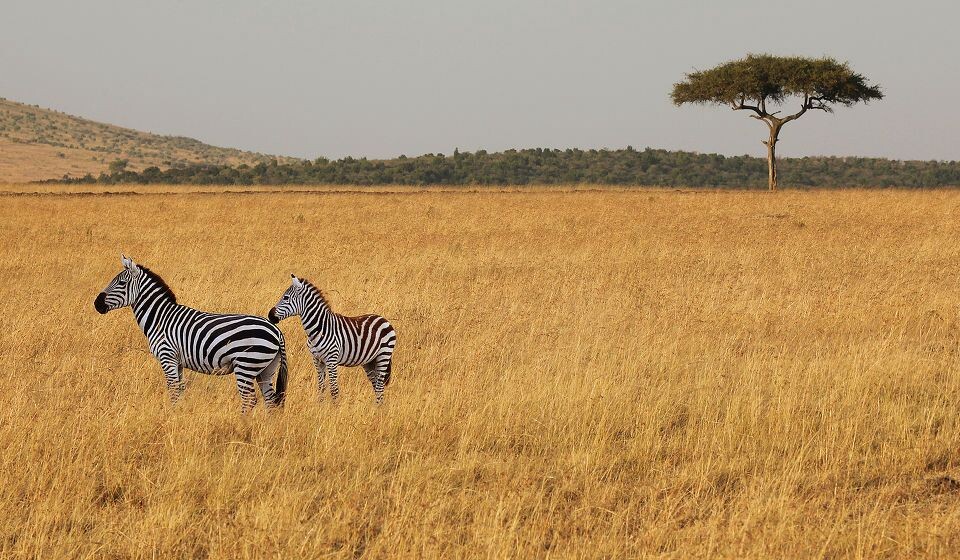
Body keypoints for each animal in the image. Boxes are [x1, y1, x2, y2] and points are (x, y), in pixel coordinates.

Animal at [93, 255, 288, 412]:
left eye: (121, 283)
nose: (96, 304)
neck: (159, 318)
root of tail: (276, 331)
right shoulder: (177, 362)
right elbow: (180, 392)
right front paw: (178, 415)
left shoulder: (167, 357)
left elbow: (173, 392)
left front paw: (171, 417)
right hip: (266, 368)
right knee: (270, 400)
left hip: (246, 365)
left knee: (250, 399)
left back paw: (242, 424)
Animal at [268, 274, 396, 402]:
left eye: (286, 298)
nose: (270, 315)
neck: (319, 329)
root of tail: (383, 319)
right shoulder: (317, 360)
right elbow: (321, 387)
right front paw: (320, 405)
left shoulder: (331, 360)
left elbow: (334, 390)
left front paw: (335, 406)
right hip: (369, 361)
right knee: (376, 385)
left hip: (383, 355)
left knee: (379, 385)